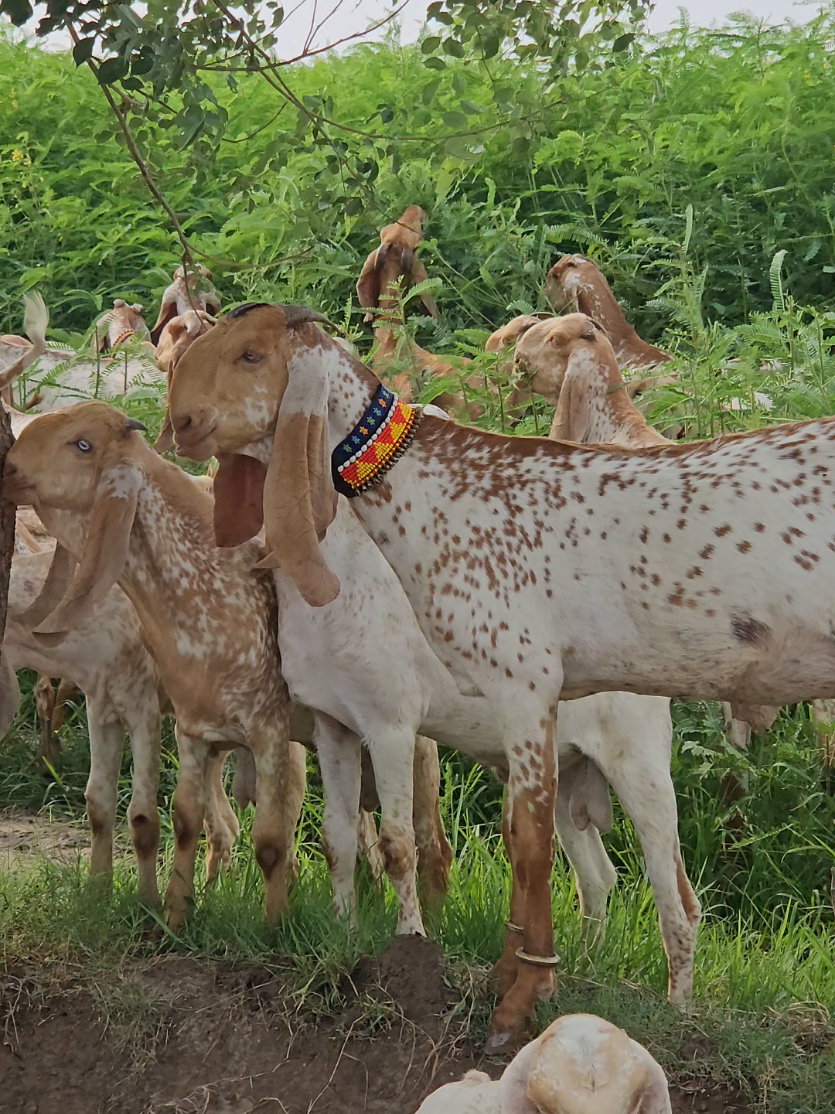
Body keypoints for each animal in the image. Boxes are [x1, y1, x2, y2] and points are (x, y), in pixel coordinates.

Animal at [4, 405, 306, 930]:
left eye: (83, 444)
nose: (9, 468)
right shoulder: (107, 704)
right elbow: (101, 804)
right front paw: (101, 893)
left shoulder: (145, 705)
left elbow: (144, 816)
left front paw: (146, 905)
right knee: (225, 825)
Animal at [167, 302, 835, 1048]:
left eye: (251, 355)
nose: (182, 423)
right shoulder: (364, 723)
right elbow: (367, 842)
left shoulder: (496, 688)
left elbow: (498, 845)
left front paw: (506, 994)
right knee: (608, 876)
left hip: (637, 761)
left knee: (677, 895)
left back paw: (677, 1014)